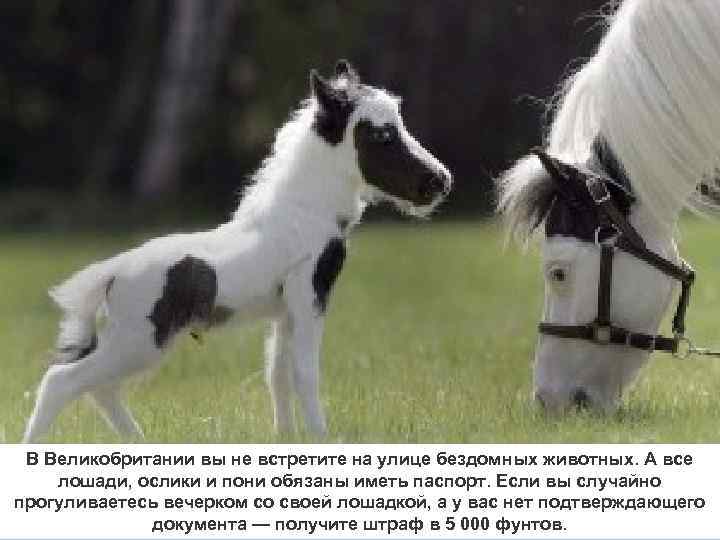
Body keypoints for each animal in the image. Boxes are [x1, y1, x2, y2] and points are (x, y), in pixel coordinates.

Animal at [23, 60, 451, 441]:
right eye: (382, 135)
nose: (441, 181)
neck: (303, 211)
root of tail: (112, 272)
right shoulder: (309, 296)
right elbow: (305, 373)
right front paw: (322, 438)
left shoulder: (284, 311)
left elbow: (277, 374)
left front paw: (286, 437)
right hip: (139, 340)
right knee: (62, 381)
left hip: (132, 342)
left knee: (99, 388)